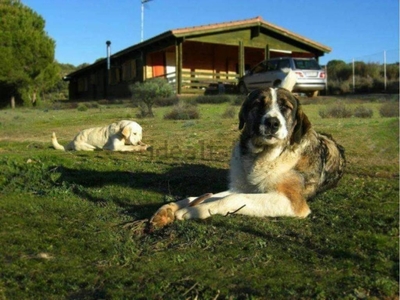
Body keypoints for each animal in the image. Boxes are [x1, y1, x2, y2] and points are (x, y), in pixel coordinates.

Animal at [150, 88, 344, 227]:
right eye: (258, 105)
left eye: (285, 108)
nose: (272, 123)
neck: (263, 156)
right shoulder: (241, 187)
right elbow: (202, 195)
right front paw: (171, 208)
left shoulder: (293, 202)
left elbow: (234, 199)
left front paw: (197, 210)